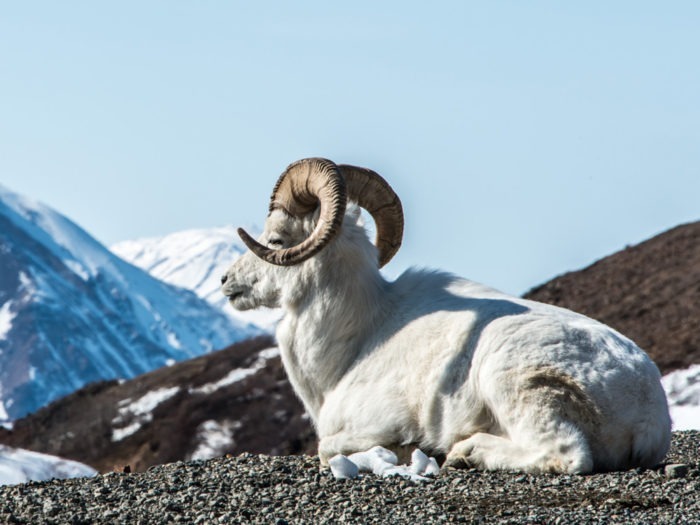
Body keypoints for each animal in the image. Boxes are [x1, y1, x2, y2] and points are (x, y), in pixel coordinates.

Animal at [224, 158, 672, 472]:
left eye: (276, 238)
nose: (228, 281)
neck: (357, 340)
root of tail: (647, 409)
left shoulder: (372, 424)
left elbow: (326, 448)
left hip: (517, 384)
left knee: (565, 455)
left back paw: (464, 452)